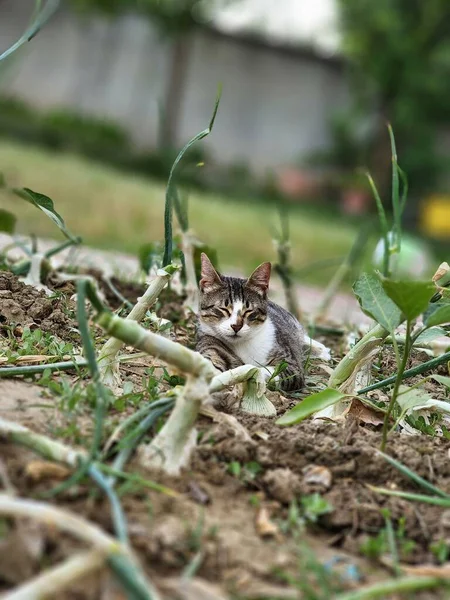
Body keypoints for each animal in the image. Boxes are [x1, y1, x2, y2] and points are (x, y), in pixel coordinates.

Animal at [195, 254, 304, 392]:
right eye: (223, 309)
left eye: (248, 310)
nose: (236, 326)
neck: (242, 344)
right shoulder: (210, 342)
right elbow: (211, 359)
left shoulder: (291, 365)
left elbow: (265, 370)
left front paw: (249, 374)